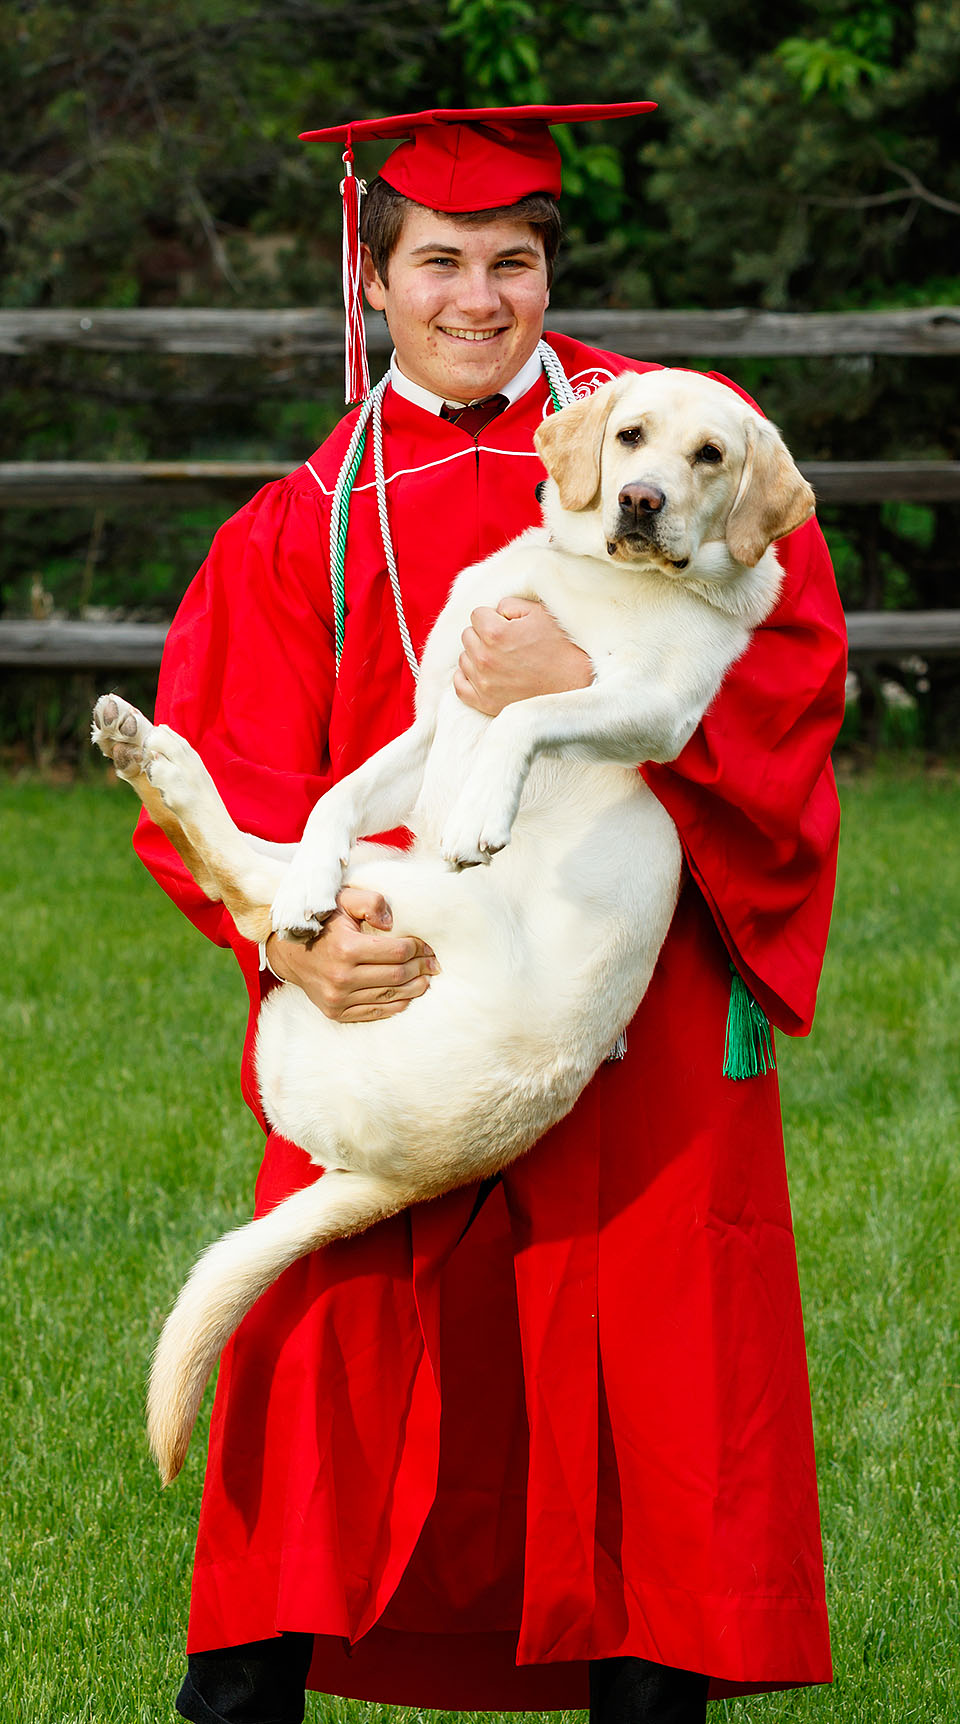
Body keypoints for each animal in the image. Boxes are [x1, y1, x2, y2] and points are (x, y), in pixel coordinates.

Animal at [93, 367, 810, 1482]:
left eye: (711, 456)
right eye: (632, 435)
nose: (640, 501)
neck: (591, 579)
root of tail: (389, 1179)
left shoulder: (649, 706)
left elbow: (527, 712)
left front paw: (483, 808)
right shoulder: (430, 724)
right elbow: (335, 794)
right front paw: (316, 864)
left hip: (432, 893)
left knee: (242, 884)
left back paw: (165, 768)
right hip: (387, 879)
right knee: (265, 880)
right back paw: (205, 803)